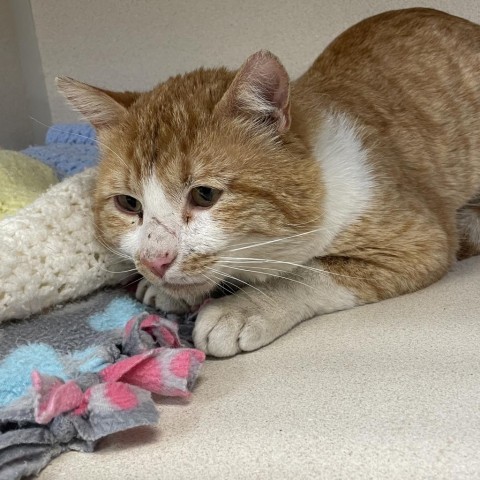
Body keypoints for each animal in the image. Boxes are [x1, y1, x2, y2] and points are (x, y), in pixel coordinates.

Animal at [57, 7, 480, 356]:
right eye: (129, 204)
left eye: (205, 195)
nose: (153, 261)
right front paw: (165, 290)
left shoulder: (420, 243)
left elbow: (307, 274)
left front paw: (246, 306)